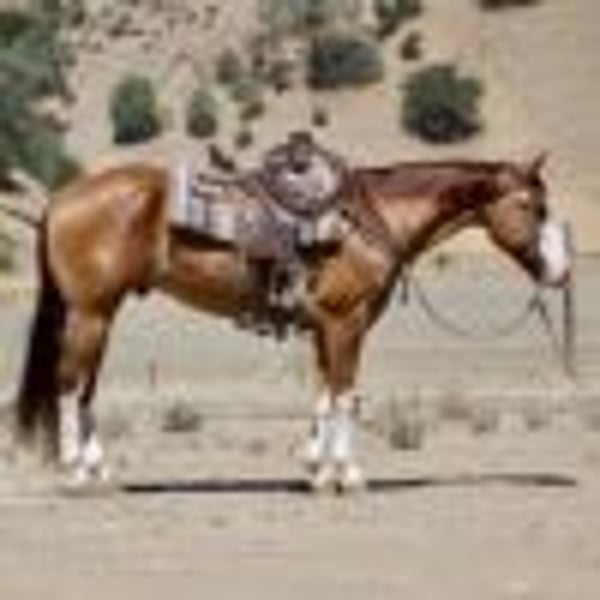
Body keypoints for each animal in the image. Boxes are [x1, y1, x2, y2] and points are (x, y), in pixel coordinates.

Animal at [9, 153, 570, 491]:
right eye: (533, 205)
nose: (560, 272)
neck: (370, 220)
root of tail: (60, 198)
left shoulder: (324, 326)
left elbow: (322, 393)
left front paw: (316, 471)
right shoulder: (347, 322)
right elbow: (346, 394)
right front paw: (349, 475)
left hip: (102, 313)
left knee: (85, 389)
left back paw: (98, 469)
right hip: (91, 312)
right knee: (69, 385)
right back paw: (75, 472)